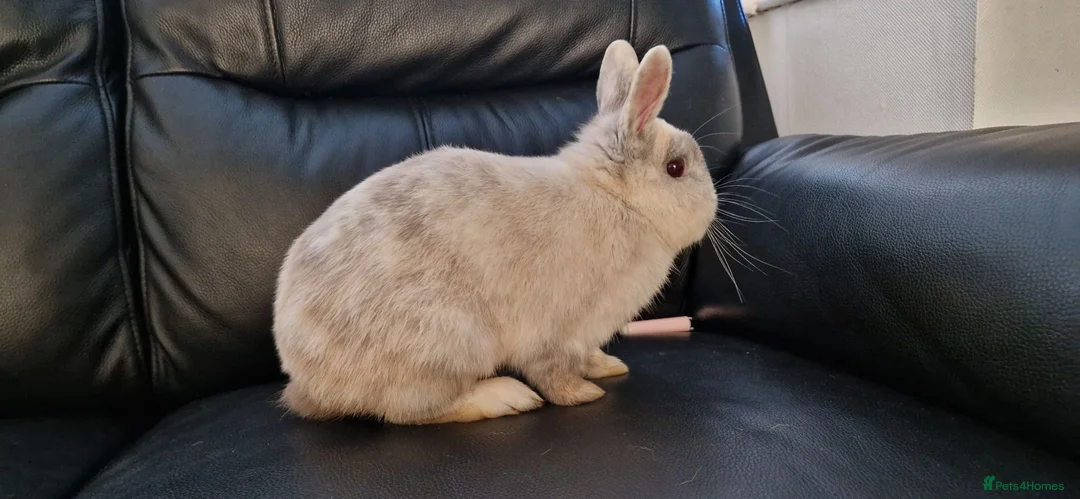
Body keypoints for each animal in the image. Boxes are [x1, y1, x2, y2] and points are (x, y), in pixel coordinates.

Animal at [273, 40, 718, 424]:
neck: (615, 199)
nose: (713, 205)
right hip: (450, 339)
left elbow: (585, 356)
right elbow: (553, 373)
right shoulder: (558, 328)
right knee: (412, 409)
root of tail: (307, 382)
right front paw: (584, 394)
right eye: (676, 168)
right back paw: (505, 397)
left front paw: (607, 366)